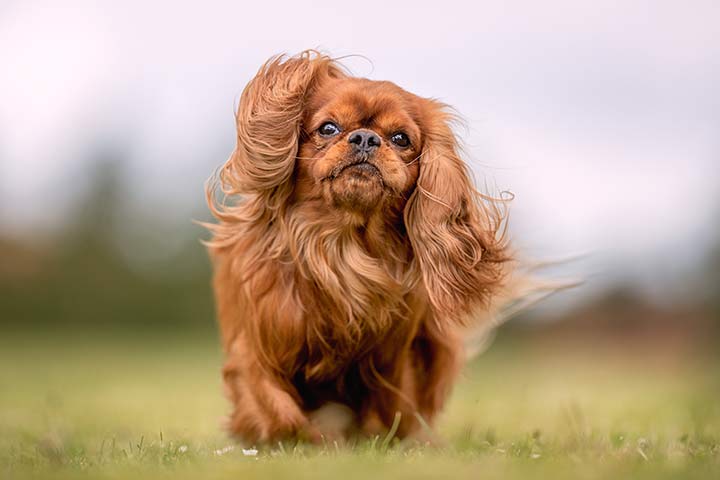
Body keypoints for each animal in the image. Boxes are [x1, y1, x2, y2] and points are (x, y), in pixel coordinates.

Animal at [202, 50, 510, 444]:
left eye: (401, 138)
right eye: (328, 128)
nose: (365, 138)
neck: (342, 245)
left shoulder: (393, 362)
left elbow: (394, 413)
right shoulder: (254, 350)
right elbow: (280, 412)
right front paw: (308, 437)